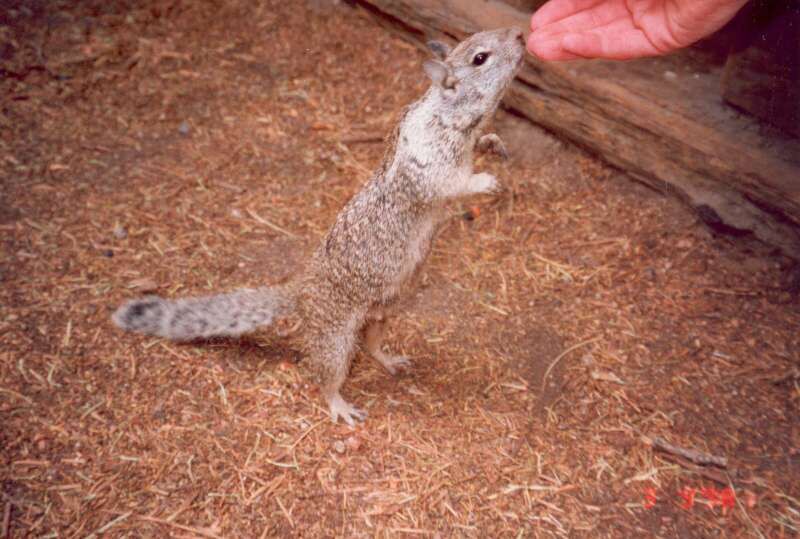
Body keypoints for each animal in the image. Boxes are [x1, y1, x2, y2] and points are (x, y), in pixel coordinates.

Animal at [111, 27, 524, 426]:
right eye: (480, 57)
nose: (521, 36)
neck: (447, 115)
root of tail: (304, 292)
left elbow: (482, 145)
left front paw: (495, 144)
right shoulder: (430, 166)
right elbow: (452, 184)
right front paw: (487, 182)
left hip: (384, 309)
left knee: (370, 344)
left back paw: (388, 359)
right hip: (335, 336)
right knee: (325, 374)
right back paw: (339, 405)